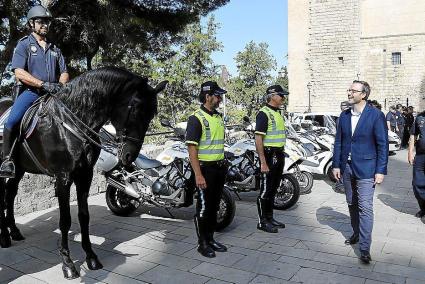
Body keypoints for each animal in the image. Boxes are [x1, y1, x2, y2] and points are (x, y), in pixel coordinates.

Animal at [0, 66, 167, 280]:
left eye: (152, 114)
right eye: (135, 109)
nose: (129, 156)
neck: (70, 124)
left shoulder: (85, 175)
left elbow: (84, 216)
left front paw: (91, 257)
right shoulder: (63, 178)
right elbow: (65, 220)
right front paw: (68, 264)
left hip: (19, 168)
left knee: (10, 195)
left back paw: (13, 231)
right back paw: (4, 237)